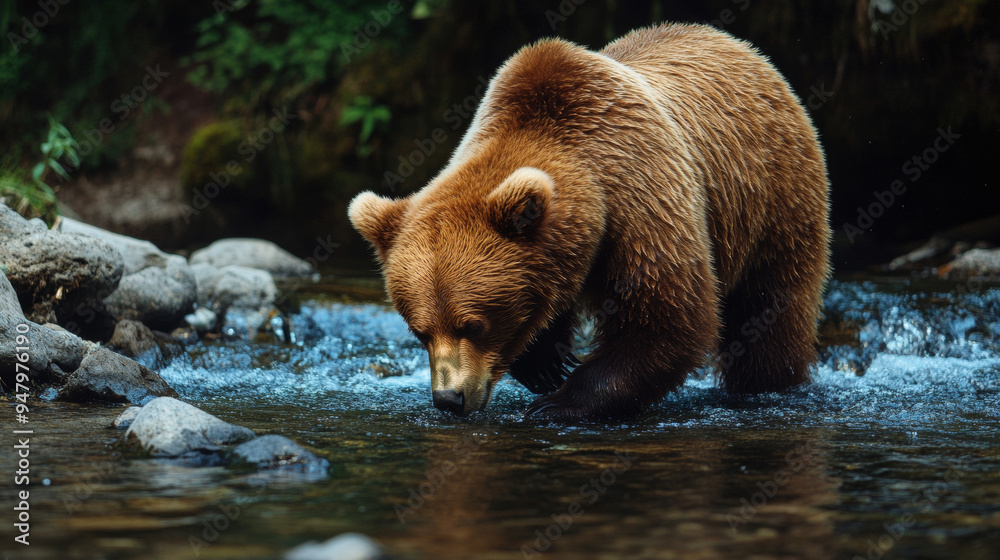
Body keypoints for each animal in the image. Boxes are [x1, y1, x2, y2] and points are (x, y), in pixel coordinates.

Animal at [348, 23, 830, 420]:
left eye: (472, 325)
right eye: (419, 332)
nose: (449, 399)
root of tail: (742, 48)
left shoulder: (642, 200)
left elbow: (667, 315)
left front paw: (558, 402)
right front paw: (544, 365)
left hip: (773, 197)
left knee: (768, 308)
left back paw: (768, 386)